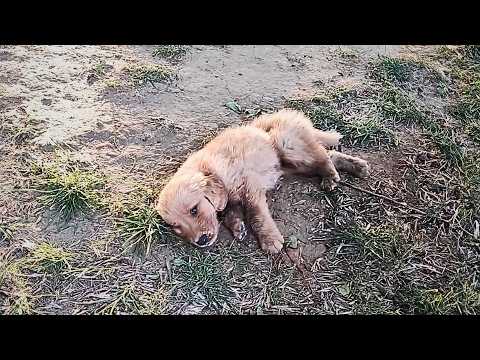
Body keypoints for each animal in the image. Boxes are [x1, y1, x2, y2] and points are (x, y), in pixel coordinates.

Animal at [156, 109, 370, 253]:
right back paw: (357, 167)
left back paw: (332, 176)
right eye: (177, 228)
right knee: (328, 154)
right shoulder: (232, 197)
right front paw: (238, 227)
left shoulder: (249, 184)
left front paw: (270, 240)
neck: (213, 170)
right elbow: (230, 212)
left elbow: (256, 215)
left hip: (287, 144)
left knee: (323, 157)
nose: (200, 241)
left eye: (194, 210)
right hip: (293, 164)